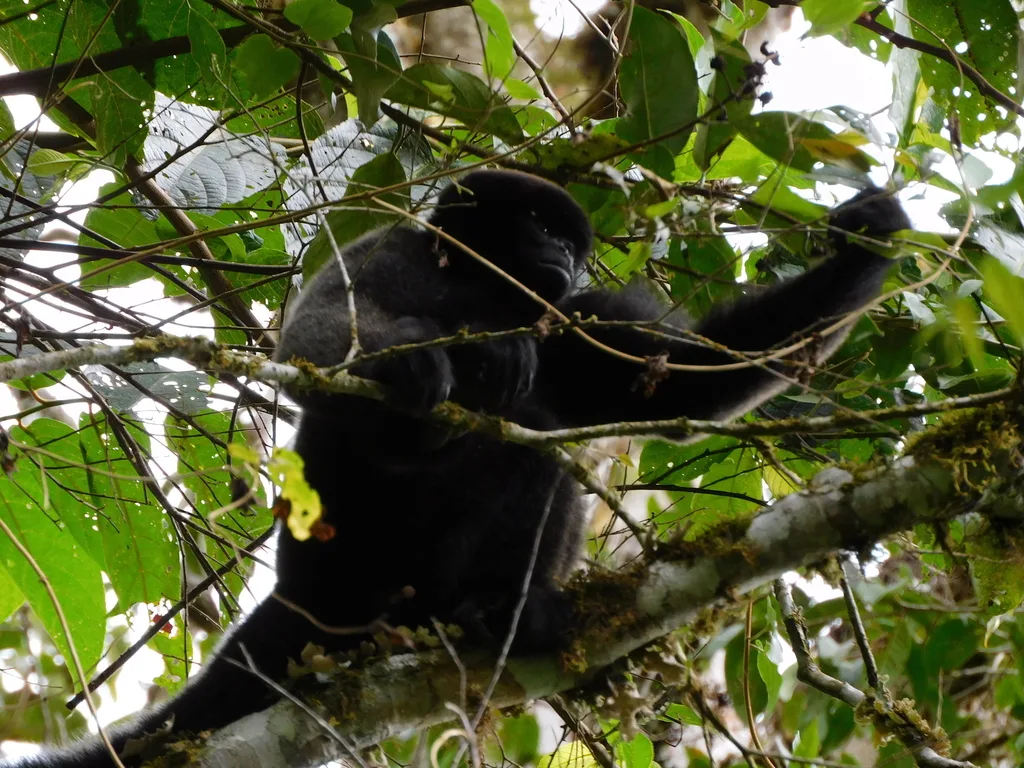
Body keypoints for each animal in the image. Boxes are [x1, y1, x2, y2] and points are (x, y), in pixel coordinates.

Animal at [2, 169, 909, 767]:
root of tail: (309, 591)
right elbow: (317, 337)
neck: (485, 290)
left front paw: (865, 244)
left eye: (573, 243)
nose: (569, 257)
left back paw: (509, 608)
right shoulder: (391, 250)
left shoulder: (573, 316)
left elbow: (688, 377)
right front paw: (429, 362)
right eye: (541, 225)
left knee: (539, 439)